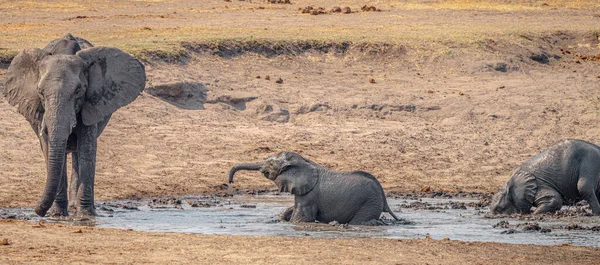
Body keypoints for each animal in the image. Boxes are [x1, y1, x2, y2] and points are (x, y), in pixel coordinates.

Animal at [1, 34, 146, 217]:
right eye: (40, 92)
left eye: (79, 91)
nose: (37, 211)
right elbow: (49, 149)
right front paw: (57, 214)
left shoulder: (91, 103)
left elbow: (87, 149)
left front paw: (86, 215)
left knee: (78, 152)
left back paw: (76, 207)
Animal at [227, 152, 400, 224]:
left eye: (270, 164)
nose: (230, 181)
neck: (304, 161)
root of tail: (384, 198)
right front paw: (280, 218)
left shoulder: (309, 195)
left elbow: (301, 219)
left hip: (369, 203)